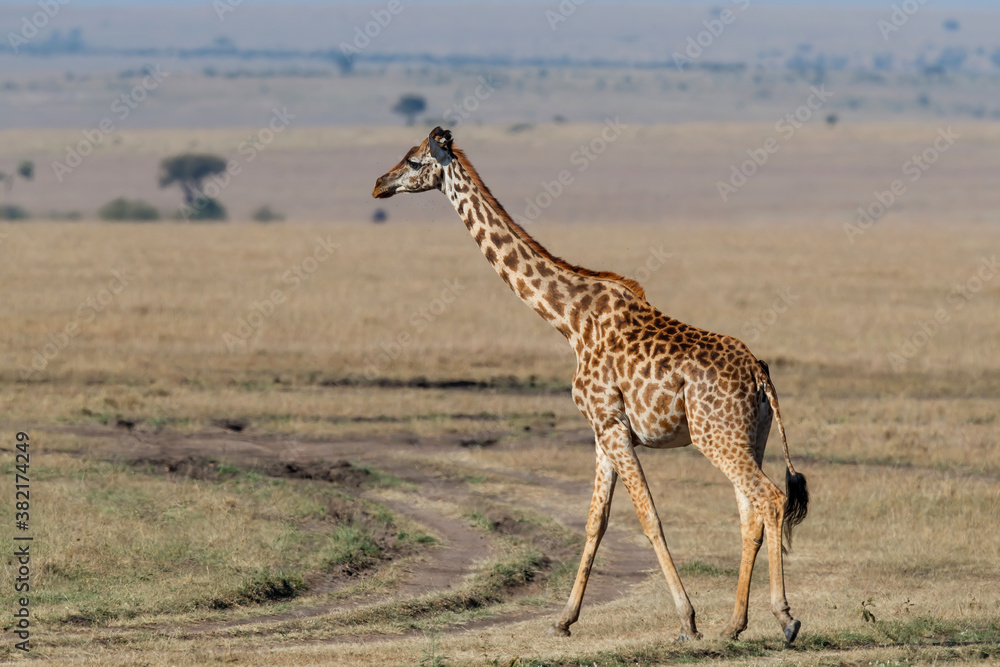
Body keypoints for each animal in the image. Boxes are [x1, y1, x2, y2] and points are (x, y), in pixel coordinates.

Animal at [372, 127, 809, 643]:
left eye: (413, 160)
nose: (378, 184)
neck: (569, 320)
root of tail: (760, 374)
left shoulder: (611, 424)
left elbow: (649, 518)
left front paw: (686, 620)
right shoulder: (603, 430)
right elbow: (595, 522)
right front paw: (564, 619)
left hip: (715, 435)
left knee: (770, 499)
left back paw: (784, 618)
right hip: (748, 436)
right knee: (750, 514)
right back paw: (734, 624)